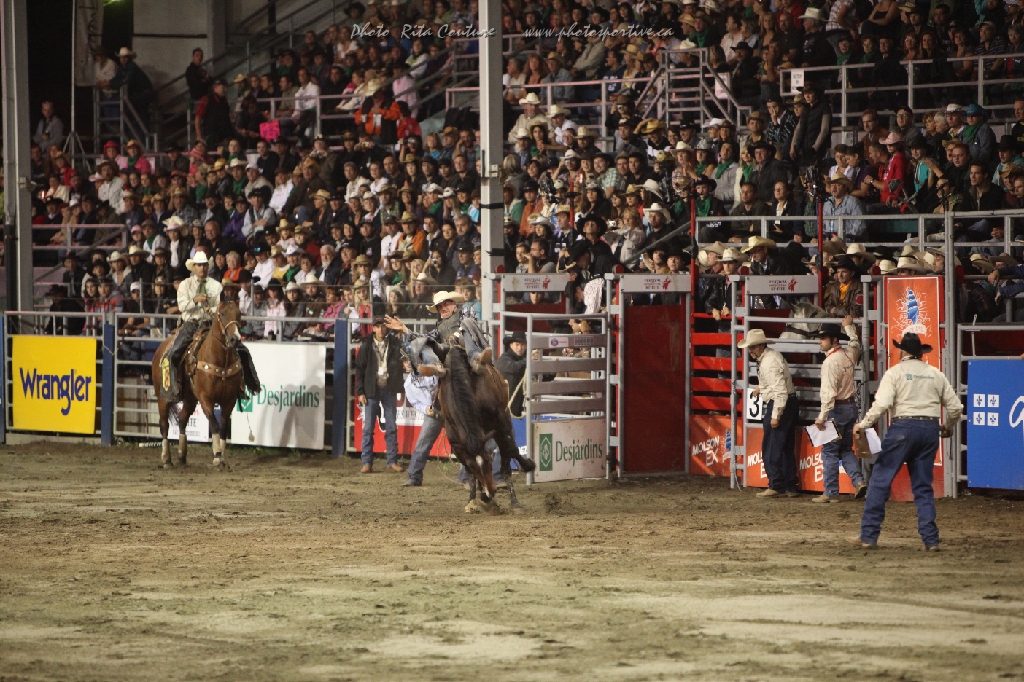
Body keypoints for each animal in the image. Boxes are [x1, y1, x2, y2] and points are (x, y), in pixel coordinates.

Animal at [151, 301, 244, 469]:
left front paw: (224, 458)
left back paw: (182, 455)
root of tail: (161, 348)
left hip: (190, 398)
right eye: (222, 314)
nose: (235, 339)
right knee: (164, 425)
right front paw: (217, 456)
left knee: (182, 419)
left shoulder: (230, 401)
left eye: (238, 314)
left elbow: (223, 427)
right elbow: (214, 424)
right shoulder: (205, 398)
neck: (221, 361)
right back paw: (166, 459)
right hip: (163, 398)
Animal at [416, 339, 536, 513]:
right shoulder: (457, 442)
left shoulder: (500, 422)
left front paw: (528, 465)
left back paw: (514, 501)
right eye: (476, 466)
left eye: (489, 461)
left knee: (507, 457)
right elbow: (468, 469)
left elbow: (512, 450)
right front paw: (477, 498)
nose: (489, 492)